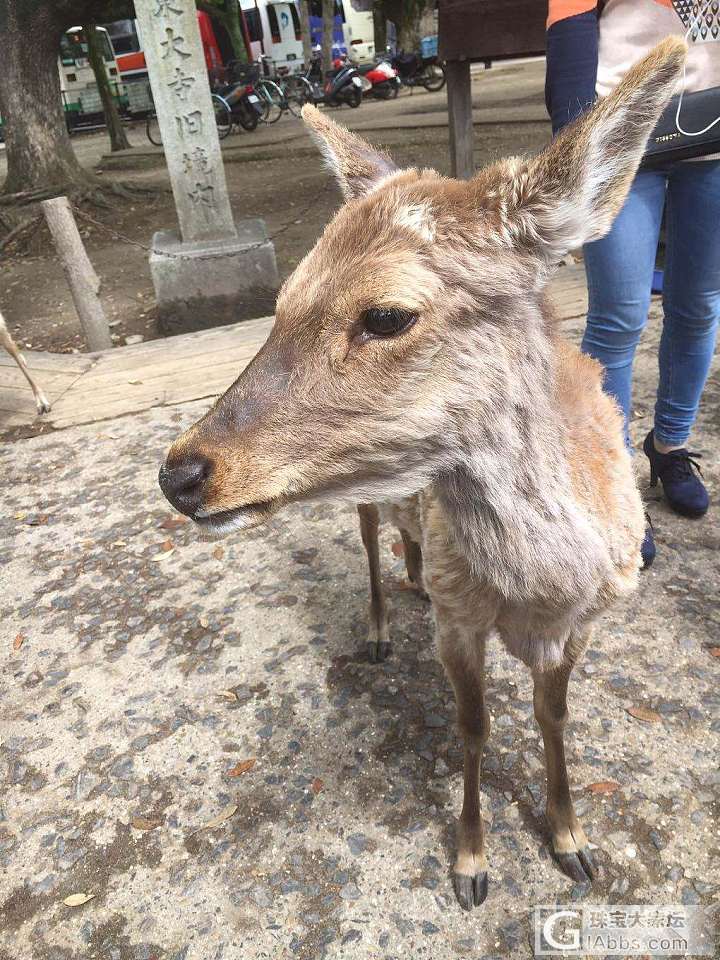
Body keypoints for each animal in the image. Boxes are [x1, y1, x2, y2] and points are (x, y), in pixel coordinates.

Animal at [158, 37, 688, 908]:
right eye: (281, 301)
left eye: (386, 315)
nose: (181, 473)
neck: (543, 591)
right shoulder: (459, 618)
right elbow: (473, 727)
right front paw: (472, 863)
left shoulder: (587, 621)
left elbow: (555, 718)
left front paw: (573, 841)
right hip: (368, 504)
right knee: (372, 539)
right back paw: (380, 622)